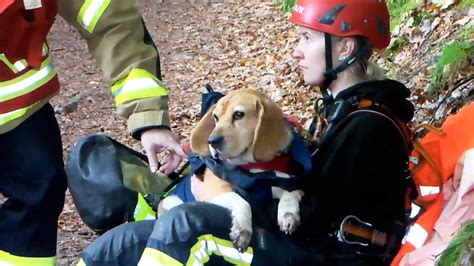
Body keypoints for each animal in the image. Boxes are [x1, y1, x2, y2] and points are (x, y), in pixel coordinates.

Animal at [161, 89, 306, 251]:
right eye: (215, 117)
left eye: (238, 114)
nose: (211, 141)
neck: (252, 167)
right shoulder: (215, 191)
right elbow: (242, 202)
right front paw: (242, 229)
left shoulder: (286, 183)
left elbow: (291, 193)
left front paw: (288, 215)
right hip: (171, 201)